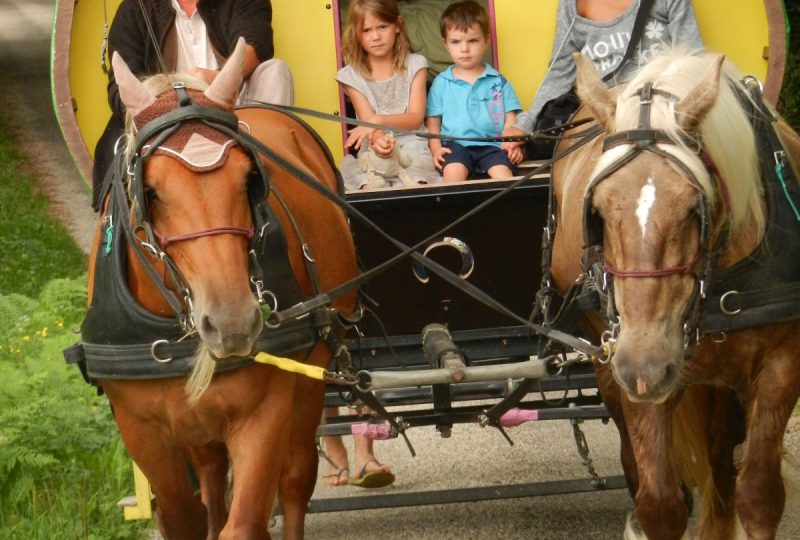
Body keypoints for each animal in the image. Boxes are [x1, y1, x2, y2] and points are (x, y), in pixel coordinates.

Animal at [81, 40, 356, 536]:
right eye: (150, 191)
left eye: (249, 179)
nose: (233, 323)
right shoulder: (141, 430)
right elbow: (183, 515)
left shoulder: (264, 411)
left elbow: (244, 520)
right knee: (211, 478)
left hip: (312, 378)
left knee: (296, 479)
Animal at [552, 48, 800, 536]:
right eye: (598, 212)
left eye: (692, 209)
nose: (645, 365)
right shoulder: (632, 367)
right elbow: (661, 505)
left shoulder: (782, 362)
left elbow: (759, 496)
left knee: (723, 465)